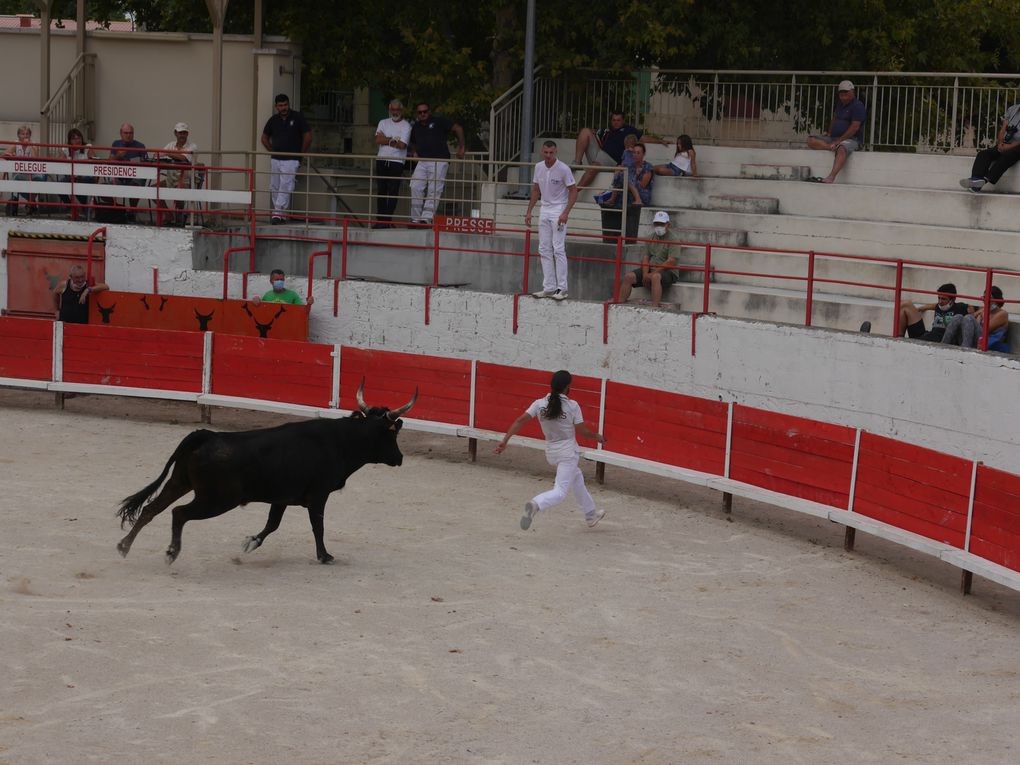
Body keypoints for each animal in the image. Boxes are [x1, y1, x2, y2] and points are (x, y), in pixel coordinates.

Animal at [112, 389, 414, 563]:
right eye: (392, 434)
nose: (400, 458)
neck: (341, 441)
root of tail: (205, 435)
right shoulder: (319, 495)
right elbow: (318, 526)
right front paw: (325, 556)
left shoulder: (282, 498)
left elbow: (272, 524)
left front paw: (251, 542)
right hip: (217, 500)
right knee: (179, 513)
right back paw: (171, 552)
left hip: (179, 482)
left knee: (151, 509)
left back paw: (124, 546)